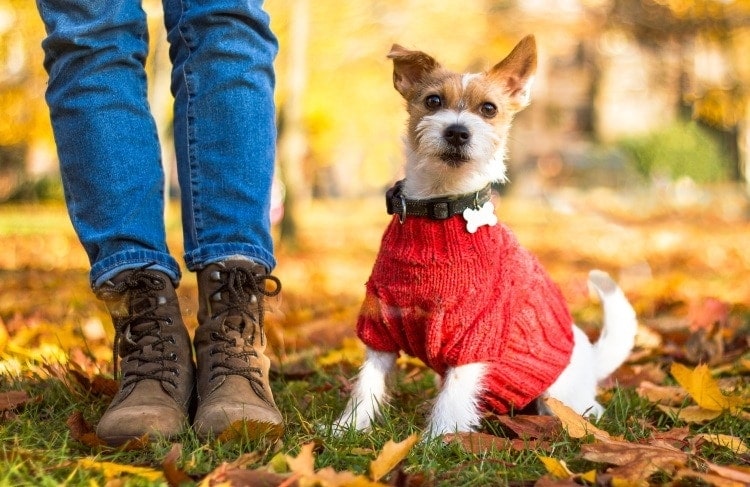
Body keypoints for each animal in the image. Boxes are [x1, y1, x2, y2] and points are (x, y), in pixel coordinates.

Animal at [334, 35, 640, 438]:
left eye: (489, 109)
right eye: (433, 101)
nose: (457, 131)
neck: (439, 210)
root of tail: (590, 357)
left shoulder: (475, 333)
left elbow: (454, 394)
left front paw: (439, 439)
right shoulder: (381, 324)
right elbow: (368, 383)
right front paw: (348, 428)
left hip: (559, 398)